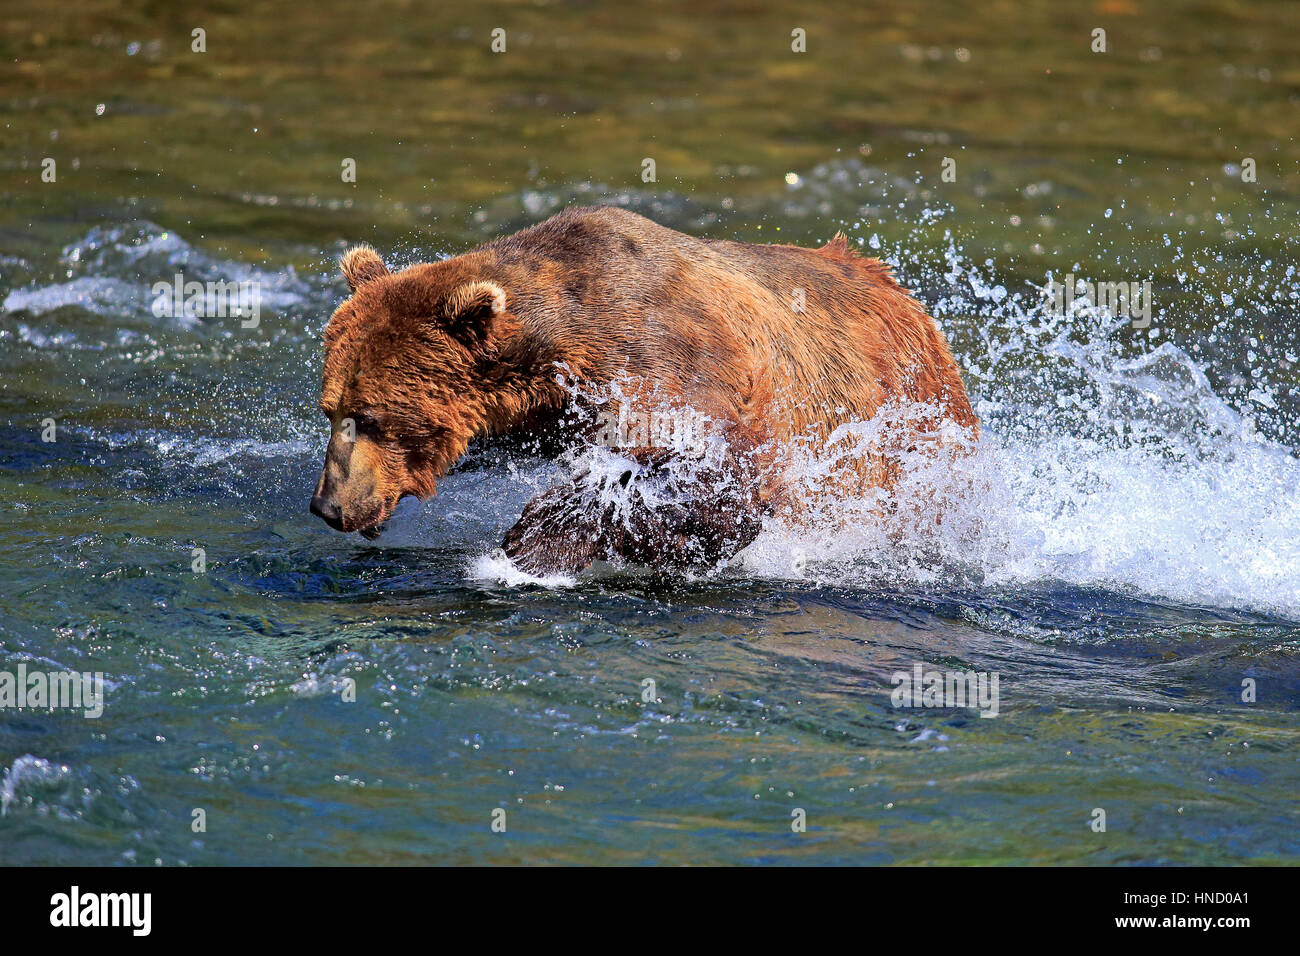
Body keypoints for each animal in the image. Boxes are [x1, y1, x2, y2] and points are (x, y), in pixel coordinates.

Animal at [306, 204, 977, 572]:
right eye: (331, 409)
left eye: (371, 416)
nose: (328, 506)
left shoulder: (681, 369)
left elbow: (715, 481)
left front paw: (530, 548)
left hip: (906, 429)